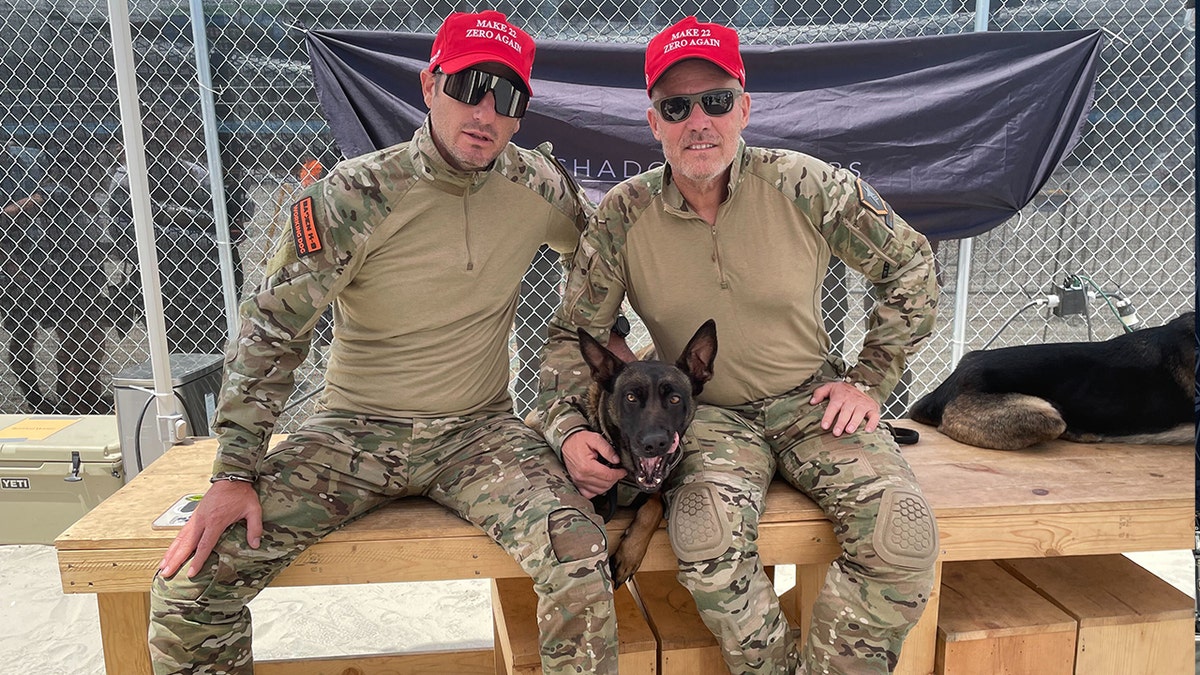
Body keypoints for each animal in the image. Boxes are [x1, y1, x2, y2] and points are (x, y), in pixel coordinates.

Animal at [576, 317, 715, 583]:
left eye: (674, 399)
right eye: (630, 397)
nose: (654, 443)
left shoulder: (657, 489)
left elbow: (654, 506)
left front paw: (630, 553)